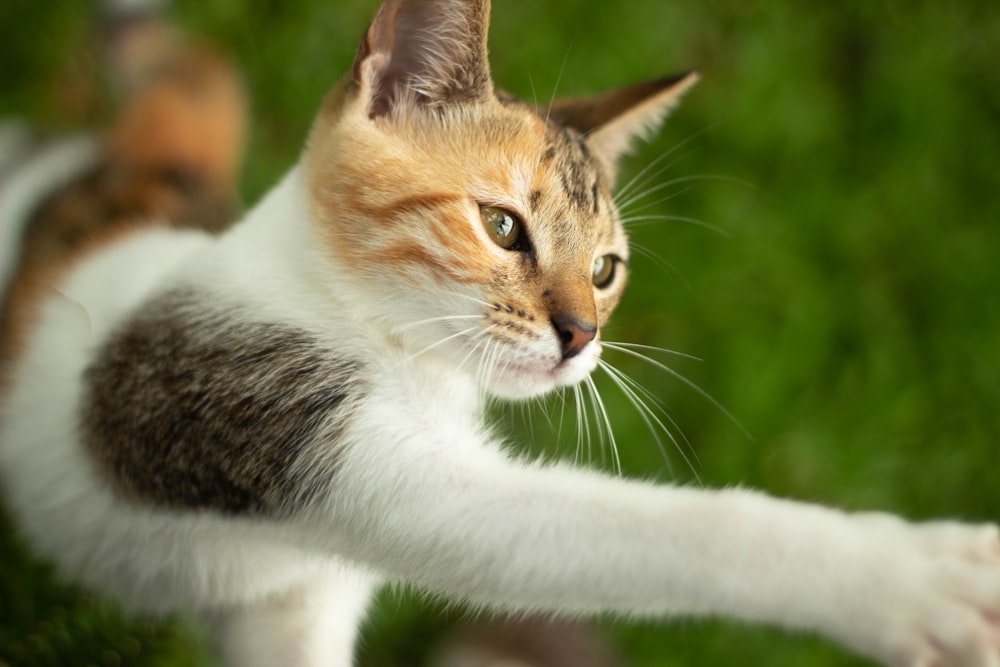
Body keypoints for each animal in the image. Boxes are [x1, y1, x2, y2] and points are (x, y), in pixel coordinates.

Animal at [0, 1, 996, 667]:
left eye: (606, 268)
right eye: (503, 225)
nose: (581, 334)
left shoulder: (291, 600)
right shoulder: (246, 398)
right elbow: (612, 529)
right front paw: (908, 578)